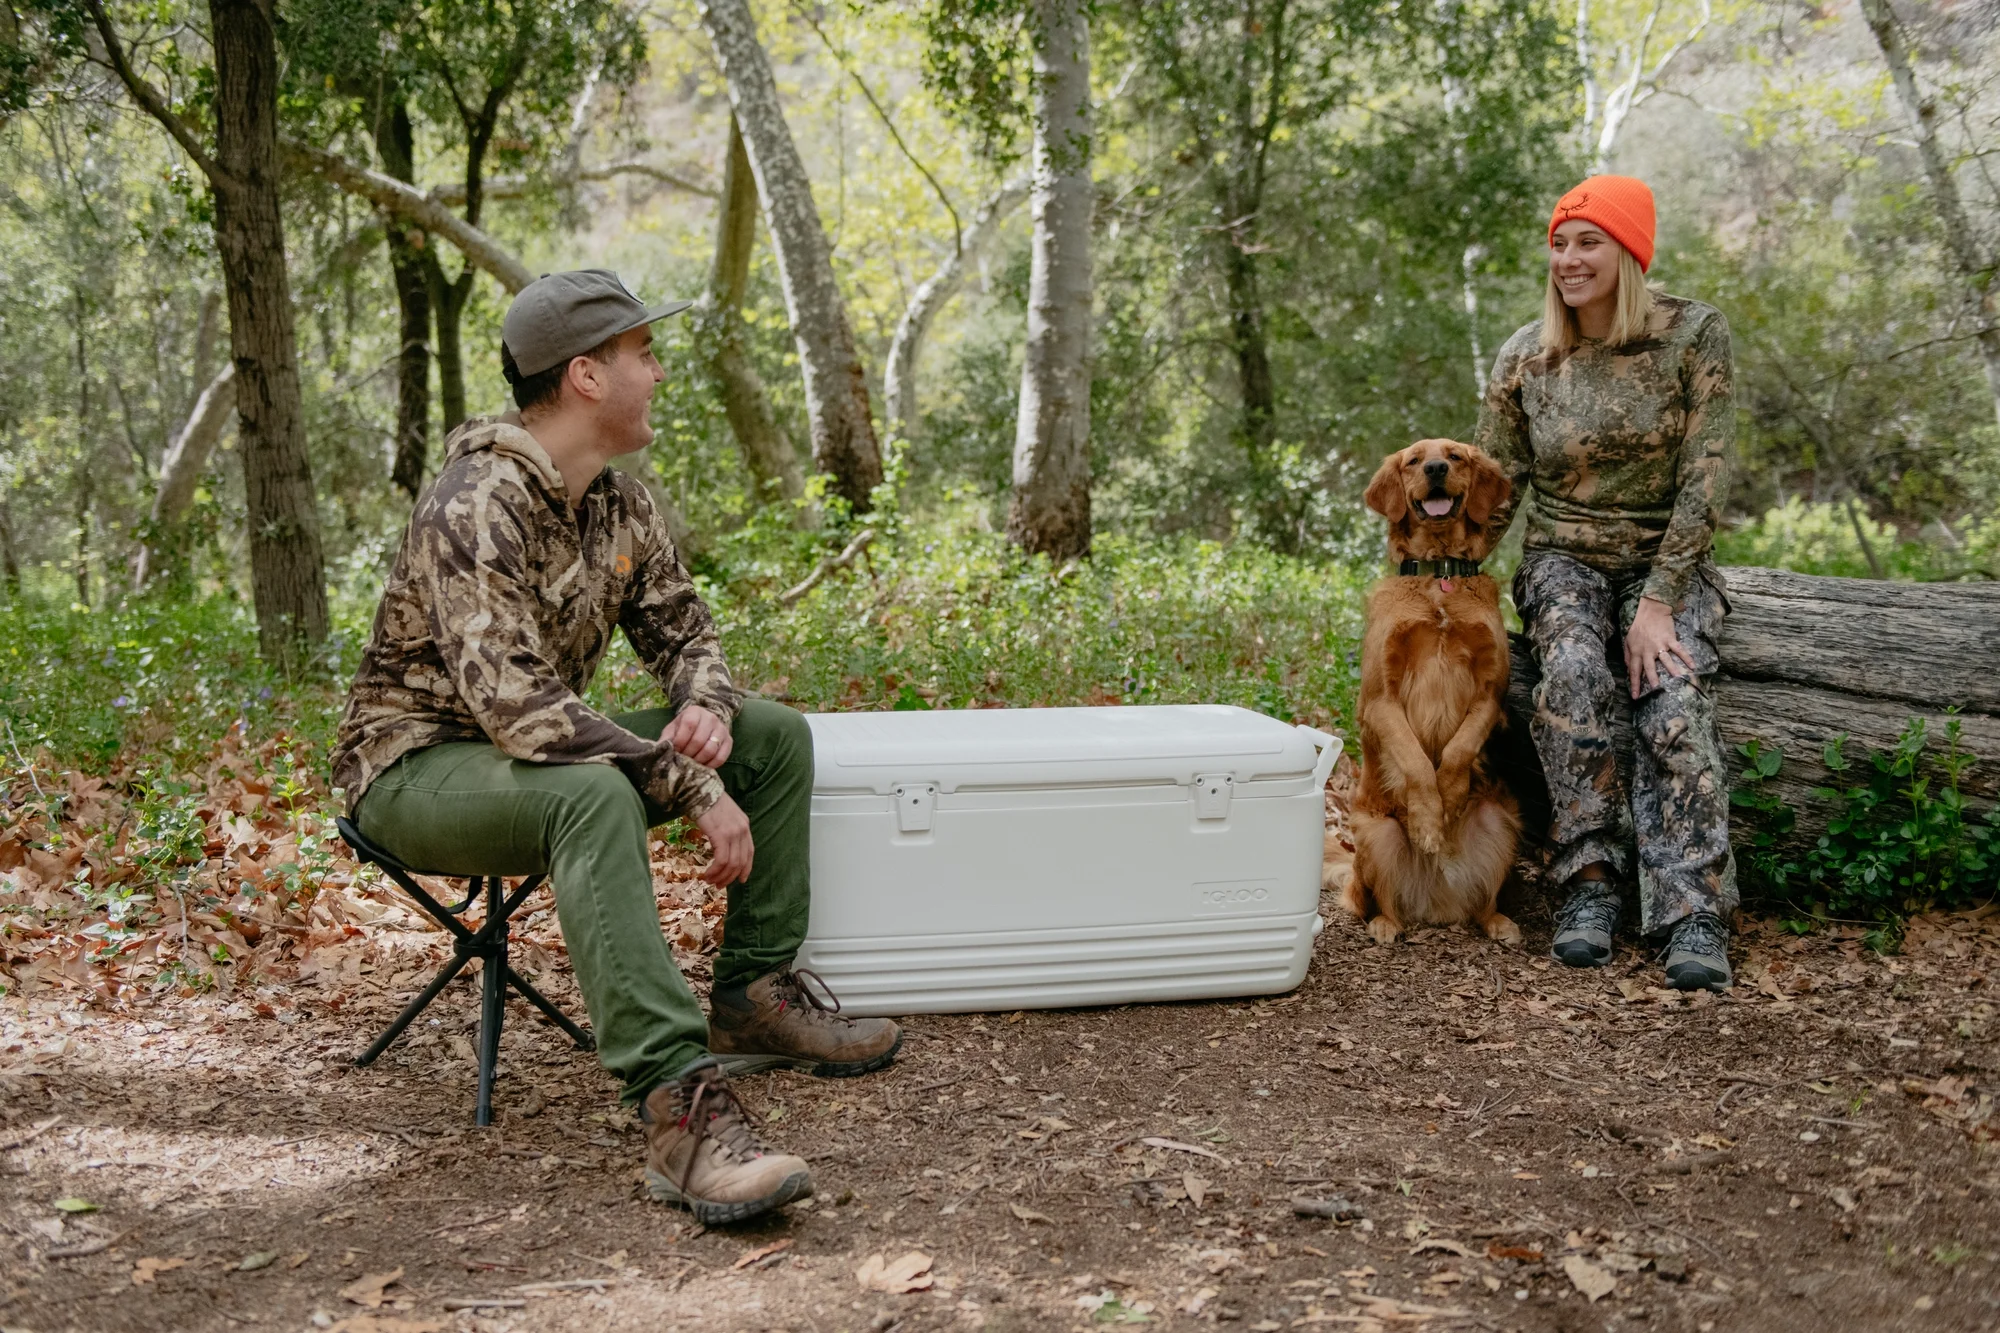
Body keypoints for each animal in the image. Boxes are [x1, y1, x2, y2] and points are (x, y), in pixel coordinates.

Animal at [1343, 438, 1521, 946]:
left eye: (1456, 456)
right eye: (1413, 461)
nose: (1437, 469)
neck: (1439, 576)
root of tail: (1437, 901)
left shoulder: (1490, 694)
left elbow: (1458, 750)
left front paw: (1450, 798)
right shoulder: (1380, 699)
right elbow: (1416, 761)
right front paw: (1428, 821)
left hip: (1500, 821)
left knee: (1484, 903)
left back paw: (1499, 922)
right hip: (1375, 834)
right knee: (1381, 903)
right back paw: (1386, 924)